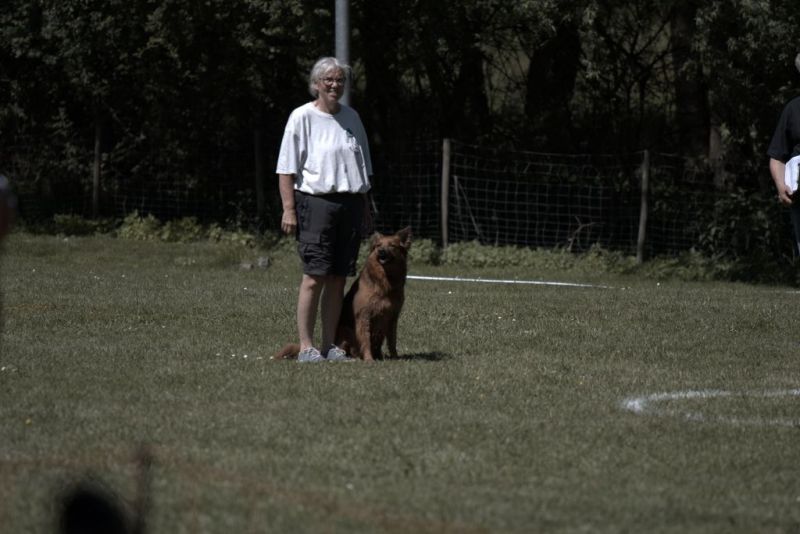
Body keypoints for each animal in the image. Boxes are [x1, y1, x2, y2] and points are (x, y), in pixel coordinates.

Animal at [275, 227, 412, 361]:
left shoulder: (393, 317)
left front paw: (395, 357)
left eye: (392, 245)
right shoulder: (363, 316)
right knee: (351, 349)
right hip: (346, 330)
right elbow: (366, 340)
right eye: (378, 245)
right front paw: (369, 359)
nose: (381, 251)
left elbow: (392, 341)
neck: (384, 280)